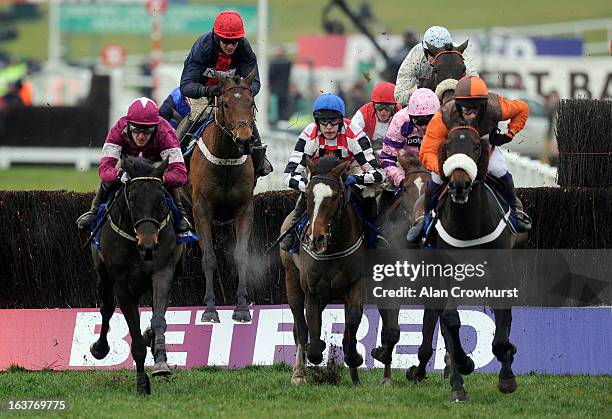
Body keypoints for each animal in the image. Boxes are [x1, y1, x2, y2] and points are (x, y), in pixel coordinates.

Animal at [89, 156, 182, 396]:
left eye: (161, 198)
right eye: (131, 197)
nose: (148, 244)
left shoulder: (163, 272)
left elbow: (158, 319)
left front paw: (161, 361)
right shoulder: (121, 284)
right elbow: (135, 338)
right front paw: (141, 384)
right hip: (103, 275)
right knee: (106, 309)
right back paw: (100, 348)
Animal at [191, 70, 258, 324]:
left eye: (251, 103)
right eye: (226, 103)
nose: (244, 139)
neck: (226, 158)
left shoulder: (244, 208)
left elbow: (241, 256)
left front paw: (241, 306)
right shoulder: (201, 209)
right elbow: (209, 258)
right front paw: (210, 309)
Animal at [280, 157, 366, 388]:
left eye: (334, 197)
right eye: (309, 195)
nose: (316, 238)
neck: (333, 248)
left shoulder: (354, 285)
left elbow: (352, 322)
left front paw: (354, 358)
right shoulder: (312, 291)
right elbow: (311, 332)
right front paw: (315, 353)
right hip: (291, 279)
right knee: (300, 328)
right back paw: (299, 373)